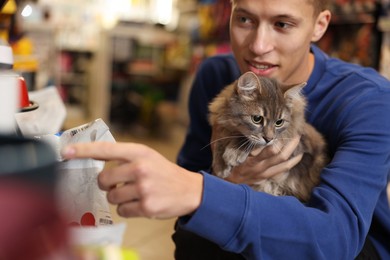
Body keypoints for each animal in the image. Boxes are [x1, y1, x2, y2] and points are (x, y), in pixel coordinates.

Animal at [209, 72, 328, 202]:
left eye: (279, 122)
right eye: (256, 119)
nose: (269, 139)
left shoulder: (297, 141)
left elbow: (247, 139)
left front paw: (234, 153)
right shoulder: (220, 122)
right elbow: (221, 138)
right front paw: (220, 166)